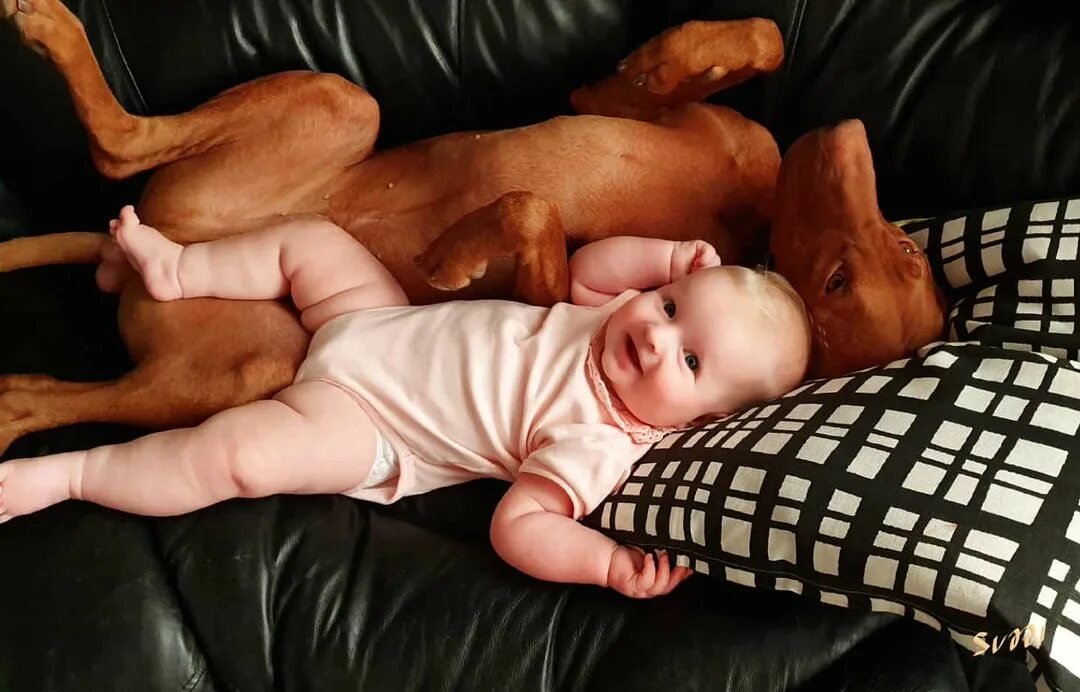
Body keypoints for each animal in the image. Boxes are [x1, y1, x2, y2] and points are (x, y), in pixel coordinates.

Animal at [0, 0, 945, 455]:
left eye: (835, 285)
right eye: (904, 247)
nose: (845, 136)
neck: (753, 218)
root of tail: (143, 245)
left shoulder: (552, 297)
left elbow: (533, 213)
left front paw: (453, 252)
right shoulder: (607, 99)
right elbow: (759, 39)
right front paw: (674, 52)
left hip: (251, 358)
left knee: (37, 377)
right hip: (340, 105)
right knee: (120, 149)